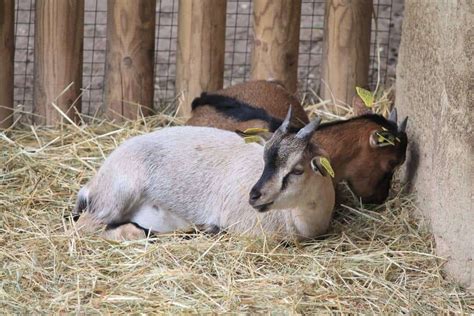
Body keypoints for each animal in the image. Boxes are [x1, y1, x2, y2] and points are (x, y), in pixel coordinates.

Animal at [73, 109, 334, 242]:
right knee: (85, 228)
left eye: (298, 169)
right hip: (116, 198)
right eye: (264, 159)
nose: (255, 196)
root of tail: (93, 184)